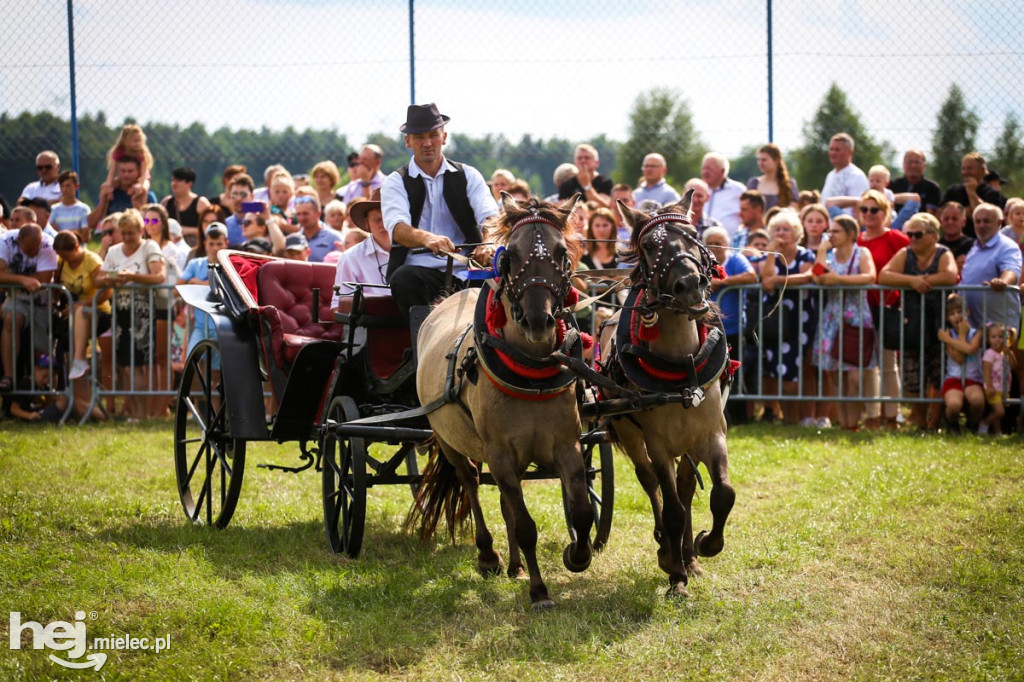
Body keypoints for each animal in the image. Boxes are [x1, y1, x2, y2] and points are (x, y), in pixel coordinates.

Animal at [407, 193, 593, 606]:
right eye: (512, 255)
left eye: (562, 253)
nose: (539, 321)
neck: (531, 368)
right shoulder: (500, 453)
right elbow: (525, 525)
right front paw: (539, 592)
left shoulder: (567, 445)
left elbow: (581, 510)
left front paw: (576, 556)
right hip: (450, 441)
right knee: (471, 483)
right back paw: (489, 556)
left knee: (506, 502)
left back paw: (515, 565)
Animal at [598, 188, 737, 593]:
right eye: (648, 246)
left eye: (692, 235)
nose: (689, 284)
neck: (680, 367)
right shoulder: (657, 443)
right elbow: (671, 506)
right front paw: (674, 574)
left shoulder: (712, 433)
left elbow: (723, 493)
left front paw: (705, 545)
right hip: (629, 432)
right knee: (652, 485)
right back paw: (668, 550)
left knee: (686, 486)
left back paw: (689, 556)